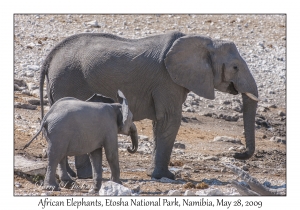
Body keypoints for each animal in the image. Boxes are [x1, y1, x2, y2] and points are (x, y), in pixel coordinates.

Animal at [39, 32, 258, 180]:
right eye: (235, 67)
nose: (237, 154)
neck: (203, 42)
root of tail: (50, 57)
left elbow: (161, 122)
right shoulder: (167, 80)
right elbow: (170, 120)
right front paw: (166, 176)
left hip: (58, 86)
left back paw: (73, 175)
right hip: (69, 80)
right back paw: (83, 176)